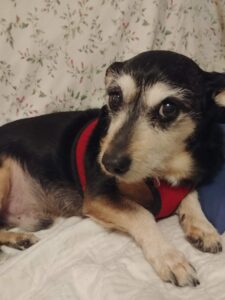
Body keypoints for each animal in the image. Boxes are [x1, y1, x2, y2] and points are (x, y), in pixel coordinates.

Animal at [0, 50, 225, 288]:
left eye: (169, 108)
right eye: (114, 97)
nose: (108, 163)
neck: (162, 169)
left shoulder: (184, 181)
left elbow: (191, 196)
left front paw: (203, 228)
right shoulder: (98, 196)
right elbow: (142, 214)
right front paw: (170, 258)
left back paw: (19, 238)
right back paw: (18, 238)